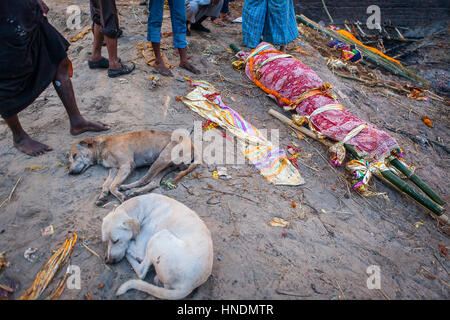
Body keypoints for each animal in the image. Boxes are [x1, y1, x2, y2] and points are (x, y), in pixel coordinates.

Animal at [67, 130, 198, 205]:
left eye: (74, 155)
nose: (70, 172)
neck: (102, 146)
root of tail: (192, 144)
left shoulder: (126, 165)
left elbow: (113, 186)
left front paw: (120, 196)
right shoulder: (114, 169)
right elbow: (106, 184)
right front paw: (103, 195)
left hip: (162, 158)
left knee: (145, 179)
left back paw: (128, 189)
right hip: (165, 166)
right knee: (153, 183)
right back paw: (133, 190)